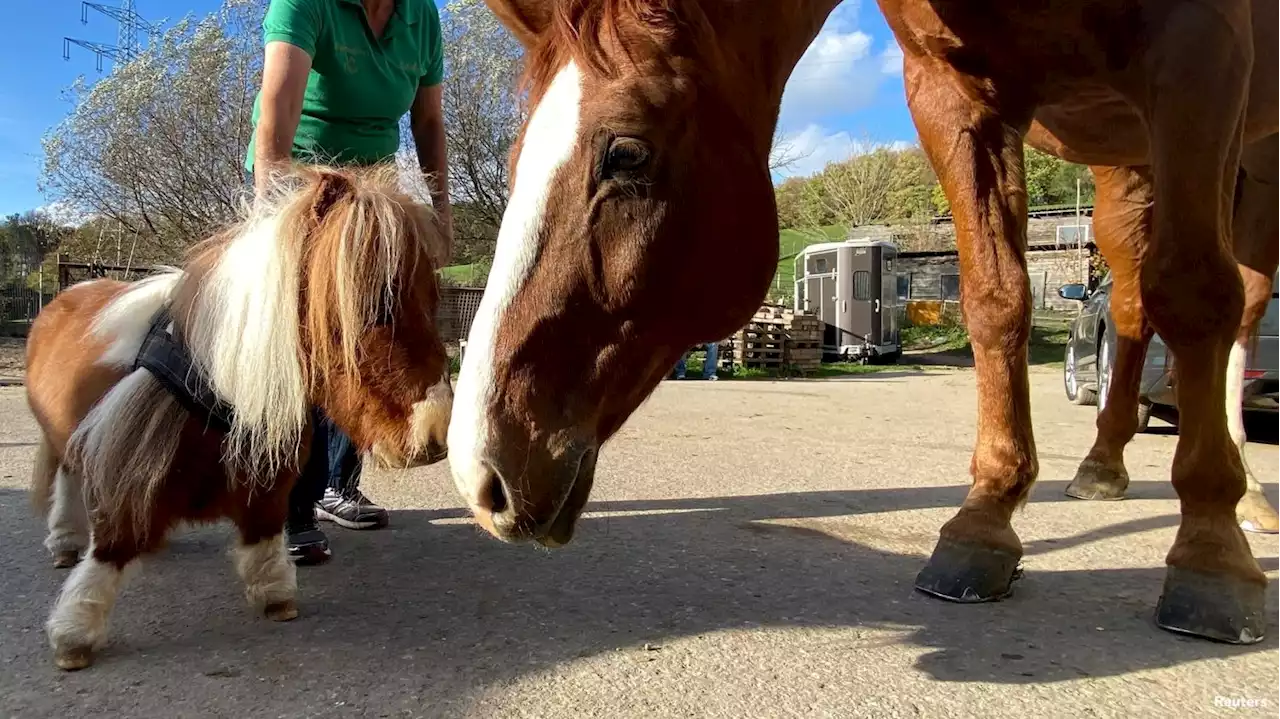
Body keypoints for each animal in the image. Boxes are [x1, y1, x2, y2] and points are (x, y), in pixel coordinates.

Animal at [455, 0, 1280, 644]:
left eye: (626, 153)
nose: (483, 471)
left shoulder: (1202, 46)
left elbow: (1196, 292)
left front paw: (1211, 549)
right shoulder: (950, 94)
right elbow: (996, 298)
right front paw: (984, 521)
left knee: (1235, 300)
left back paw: (1245, 498)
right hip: (1126, 157)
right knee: (1141, 300)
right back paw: (1106, 467)